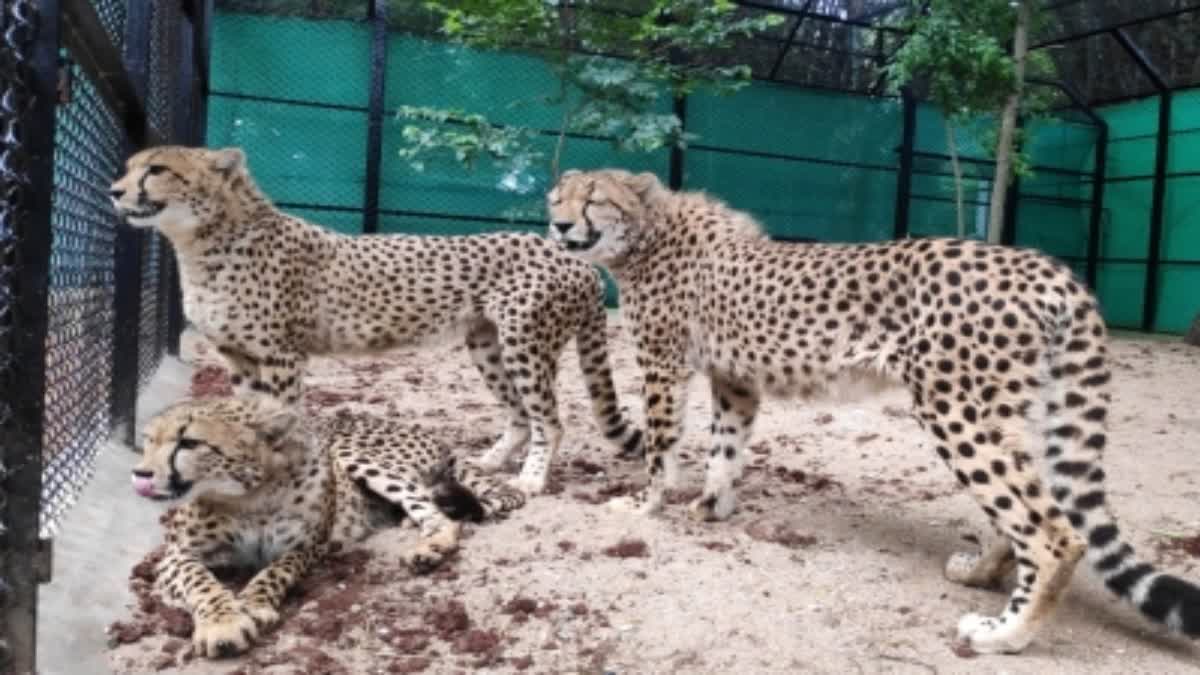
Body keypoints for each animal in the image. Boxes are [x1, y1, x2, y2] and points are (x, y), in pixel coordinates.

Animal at [108, 145, 643, 494]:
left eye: (156, 169)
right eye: (130, 166)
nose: (113, 191)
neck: (203, 242)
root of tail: (575, 258)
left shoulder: (280, 355)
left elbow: (283, 415)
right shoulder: (237, 355)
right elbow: (247, 417)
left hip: (525, 344)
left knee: (548, 419)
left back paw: (530, 479)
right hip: (487, 345)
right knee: (519, 413)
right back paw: (490, 460)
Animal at [547, 168, 1200, 653]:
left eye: (594, 198)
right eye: (559, 195)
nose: (556, 222)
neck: (647, 234)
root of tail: (1047, 267)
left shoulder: (662, 364)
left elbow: (661, 444)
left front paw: (643, 504)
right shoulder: (736, 379)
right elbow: (725, 447)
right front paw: (711, 507)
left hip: (954, 408)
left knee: (1055, 533)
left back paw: (1004, 634)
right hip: (1007, 411)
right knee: (1021, 508)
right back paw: (982, 573)